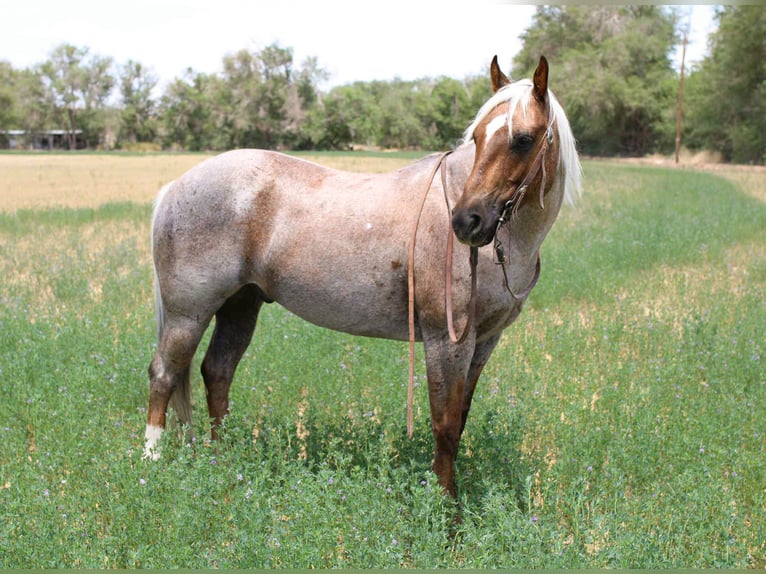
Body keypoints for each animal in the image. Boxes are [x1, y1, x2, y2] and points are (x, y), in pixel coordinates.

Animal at [144, 55, 582, 498]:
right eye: (477, 137)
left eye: (523, 139)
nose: (467, 221)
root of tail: (176, 186)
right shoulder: (446, 342)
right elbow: (444, 427)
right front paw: (445, 507)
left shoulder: (485, 341)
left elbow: (460, 420)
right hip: (189, 315)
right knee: (163, 374)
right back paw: (151, 460)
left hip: (240, 306)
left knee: (217, 372)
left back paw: (222, 458)